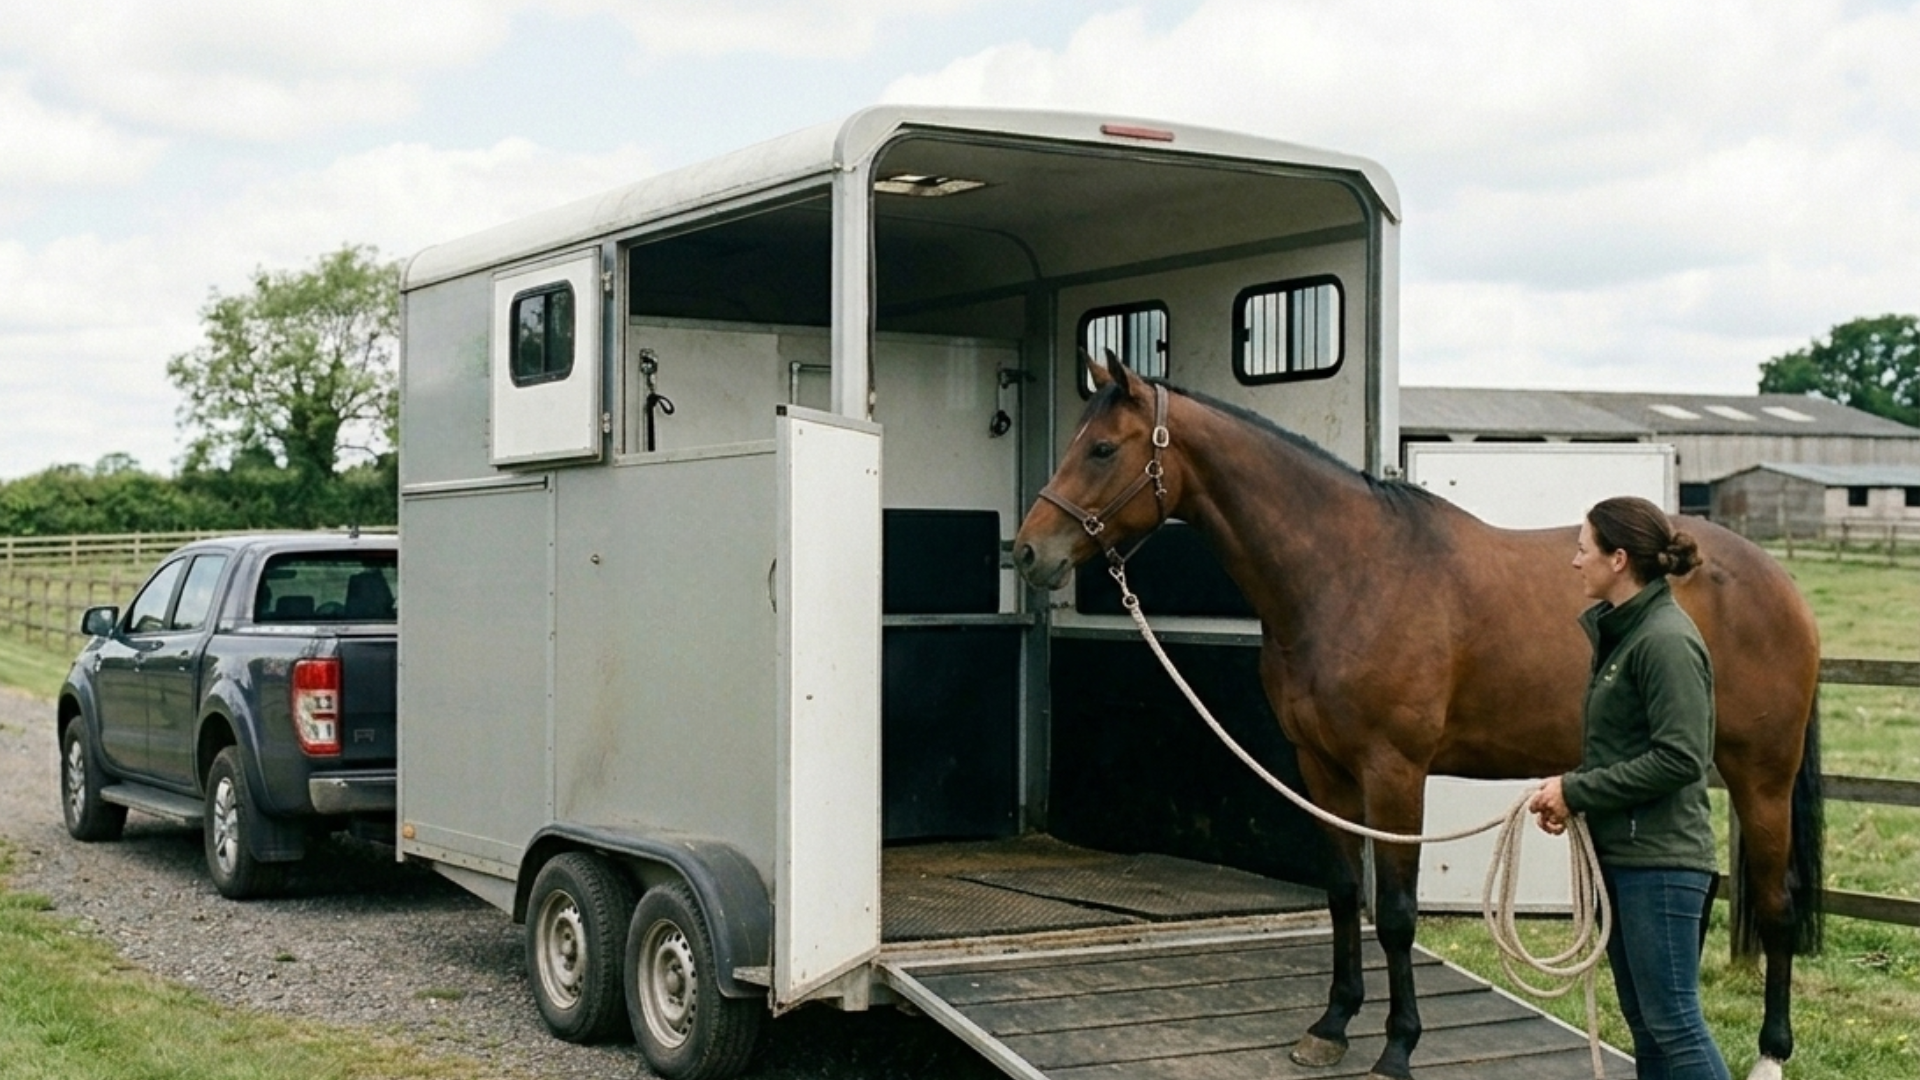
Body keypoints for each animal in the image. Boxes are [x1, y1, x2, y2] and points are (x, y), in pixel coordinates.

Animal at [1012, 353, 1822, 1080]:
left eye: (1103, 448)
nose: (1025, 553)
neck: (1350, 573)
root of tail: (1775, 578)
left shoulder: (1395, 772)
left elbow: (1397, 912)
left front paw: (1397, 1049)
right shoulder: (1322, 769)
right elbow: (1344, 894)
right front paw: (1331, 1026)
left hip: (1761, 775)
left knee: (1776, 903)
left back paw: (1771, 1054)